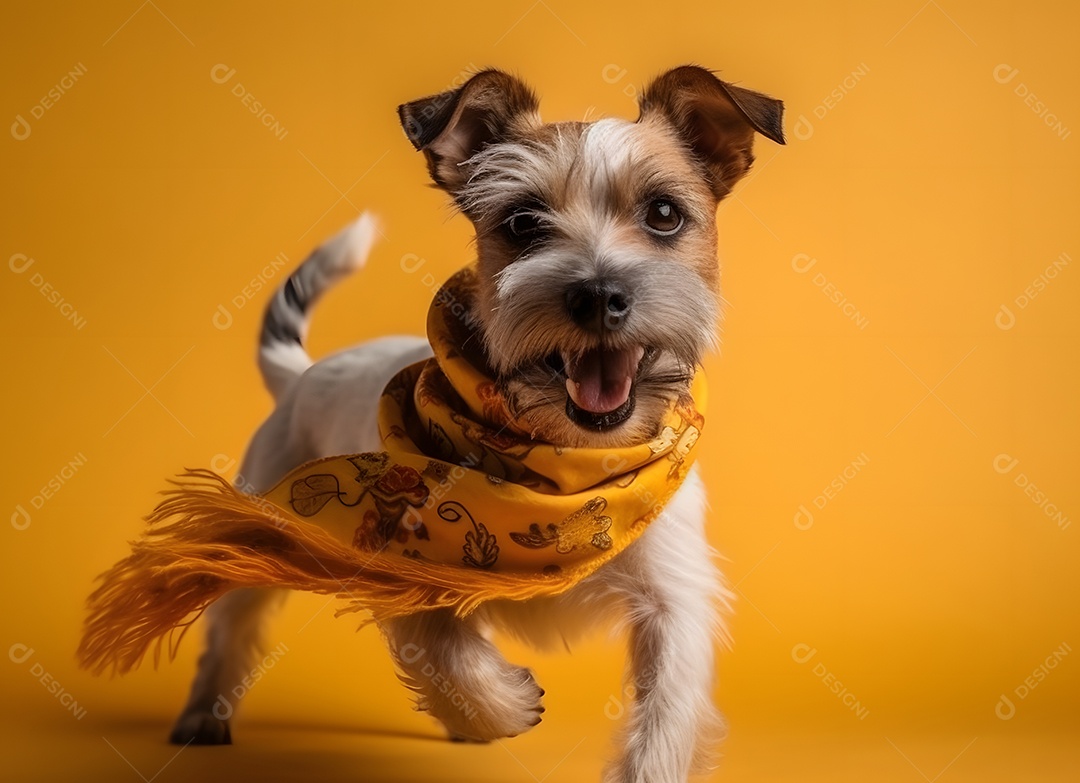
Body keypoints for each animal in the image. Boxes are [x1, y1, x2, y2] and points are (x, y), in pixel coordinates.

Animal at [172, 67, 790, 781]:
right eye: (522, 221)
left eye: (664, 214)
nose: (597, 293)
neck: (563, 466)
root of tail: (300, 374)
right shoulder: (401, 563)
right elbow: (442, 645)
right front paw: (499, 706)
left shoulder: (675, 598)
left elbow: (664, 712)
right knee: (231, 624)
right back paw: (204, 713)